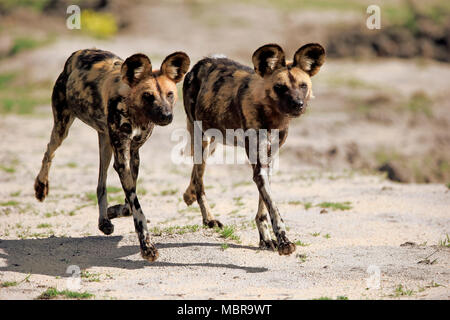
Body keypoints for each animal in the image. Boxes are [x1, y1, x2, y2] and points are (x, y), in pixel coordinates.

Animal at [34, 48, 190, 262]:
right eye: (148, 96)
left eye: (170, 94)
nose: (166, 116)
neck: (135, 111)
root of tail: (77, 53)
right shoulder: (122, 159)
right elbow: (137, 208)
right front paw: (147, 247)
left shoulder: (133, 155)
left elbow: (129, 204)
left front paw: (113, 211)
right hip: (62, 128)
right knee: (49, 151)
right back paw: (41, 187)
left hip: (106, 144)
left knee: (101, 184)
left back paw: (104, 221)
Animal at [181, 43, 326, 255]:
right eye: (279, 87)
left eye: (303, 85)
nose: (297, 104)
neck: (274, 117)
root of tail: (205, 60)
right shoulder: (260, 167)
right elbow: (273, 208)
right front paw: (284, 242)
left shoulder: (269, 161)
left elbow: (264, 208)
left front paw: (265, 239)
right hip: (203, 140)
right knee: (200, 180)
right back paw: (209, 218)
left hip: (213, 142)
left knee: (196, 174)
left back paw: (188, 195)